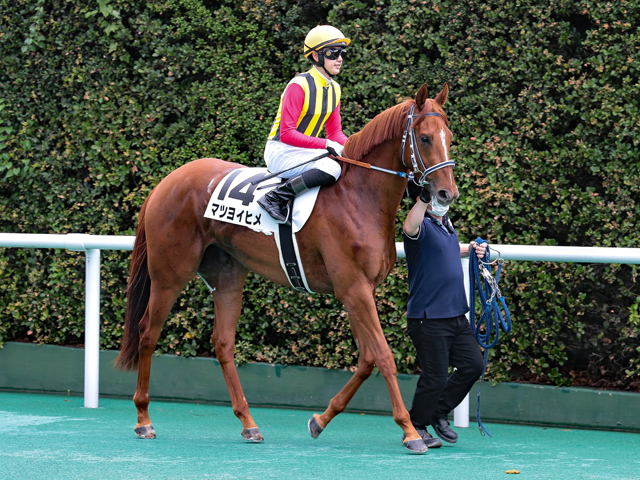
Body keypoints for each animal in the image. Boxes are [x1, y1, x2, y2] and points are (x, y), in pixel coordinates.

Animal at [115, 83, 458, 454]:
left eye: (450, 136)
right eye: (425, 138)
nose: (447, 193)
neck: (359, 196)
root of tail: (165, 183)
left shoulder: (357, 291)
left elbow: (367, 359)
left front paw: (320, 420)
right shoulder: (354, 289)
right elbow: (383, 356)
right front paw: (410, 431)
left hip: (227, 277)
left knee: (223, 343)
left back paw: (249, 423)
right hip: (169, 274)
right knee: (148, 332)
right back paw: (143, 419)